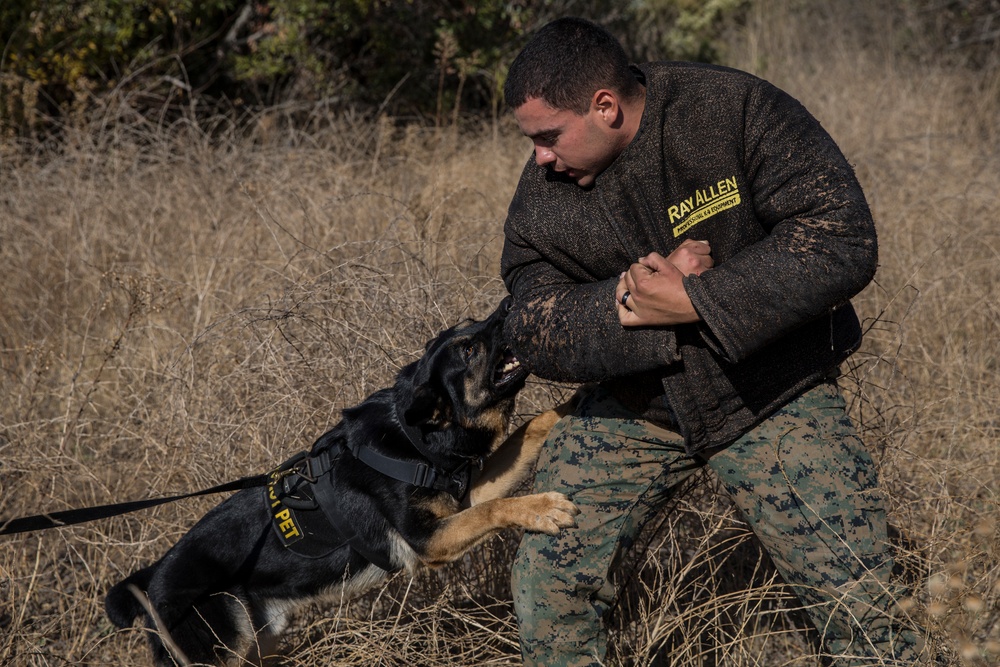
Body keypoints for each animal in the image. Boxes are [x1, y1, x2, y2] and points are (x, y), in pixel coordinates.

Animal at [103, 300, 580, 664]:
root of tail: (150, 581)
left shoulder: (461, 502)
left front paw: (572, 403)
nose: (510, 304)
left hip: (259, 640)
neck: (413, 438)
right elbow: (496, 508)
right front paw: (542, 508)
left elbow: (529, 431)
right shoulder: (430, 542)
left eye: (472, 323)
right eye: (469, 349)